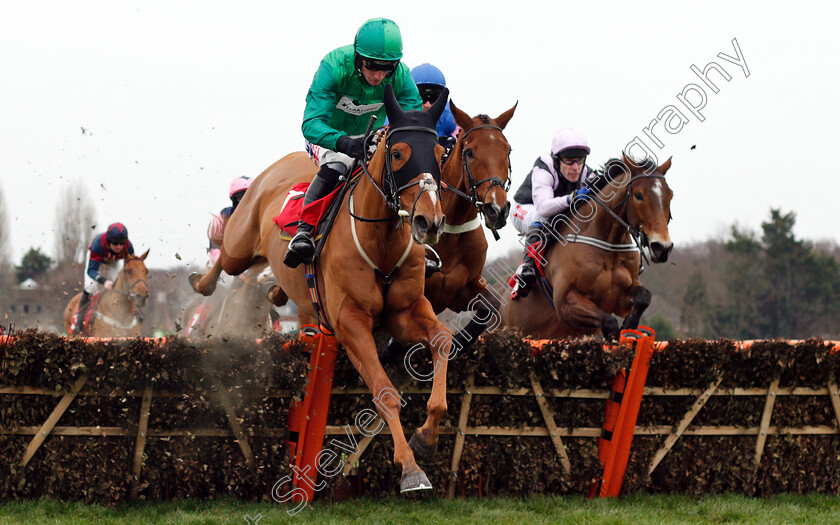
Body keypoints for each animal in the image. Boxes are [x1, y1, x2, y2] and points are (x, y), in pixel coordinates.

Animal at [189, 86, 452, 492]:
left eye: (440, 154)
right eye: (397, 153)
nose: (430, 221)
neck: (381, 241)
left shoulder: (404, 313)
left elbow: (442, 340)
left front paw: (425, 437)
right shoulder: (350, 323)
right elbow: (385, 392)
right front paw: (410, 470)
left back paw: (275, 292)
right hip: (239, 244)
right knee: (225, 261)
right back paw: (201, 283)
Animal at [502, 154, 672, 338]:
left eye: (670, 195)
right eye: (638, 195)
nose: (662, 248)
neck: (609, 247)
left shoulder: (619, 300)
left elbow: (644, 297)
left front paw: (630, 324)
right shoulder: (566, 303)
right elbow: (609, 323)